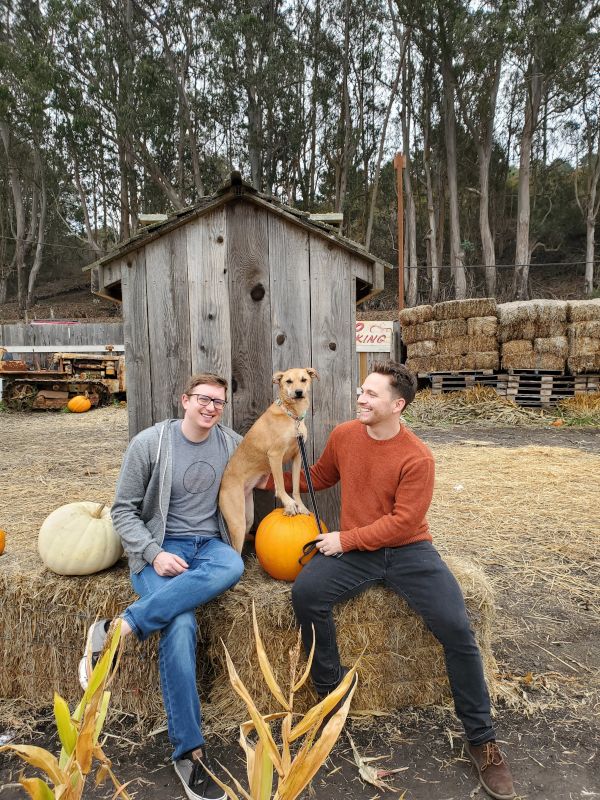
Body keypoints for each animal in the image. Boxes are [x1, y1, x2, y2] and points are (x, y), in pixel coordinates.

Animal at [218, 368, 316, 552]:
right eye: (288, 381)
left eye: (304, 379)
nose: (299, 392)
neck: (292, 415)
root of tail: (222, 484)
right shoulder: (275, 455)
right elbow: (281, 485)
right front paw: (289, 503)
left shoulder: (297, 456)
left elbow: (295, 486)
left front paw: (300, 505)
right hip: (237, 522)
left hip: (248, 517)